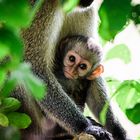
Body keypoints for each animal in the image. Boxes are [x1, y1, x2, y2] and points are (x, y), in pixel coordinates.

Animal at [11, 0, 126, 139]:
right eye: (71, 59)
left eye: (83, 66)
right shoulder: (39, 8)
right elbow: (32, 67)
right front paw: (84, 126)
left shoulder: (87, 10)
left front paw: (116, 129)